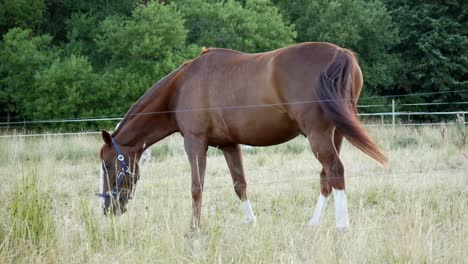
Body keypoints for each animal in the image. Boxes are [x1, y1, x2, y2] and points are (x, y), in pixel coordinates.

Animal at [98, 42, 388, 230]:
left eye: (108, 165)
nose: (108, 210)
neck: (181, 88)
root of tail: (340, 54)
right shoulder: (229, 145)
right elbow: (240, 184)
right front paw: (250, 221)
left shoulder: (195, 143)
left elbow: (196, 188)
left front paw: (194, 229)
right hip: (335, 134)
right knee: (326, 176)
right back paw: (314, 223)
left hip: (319, 135)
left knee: (335, 170)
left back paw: (342, 227)